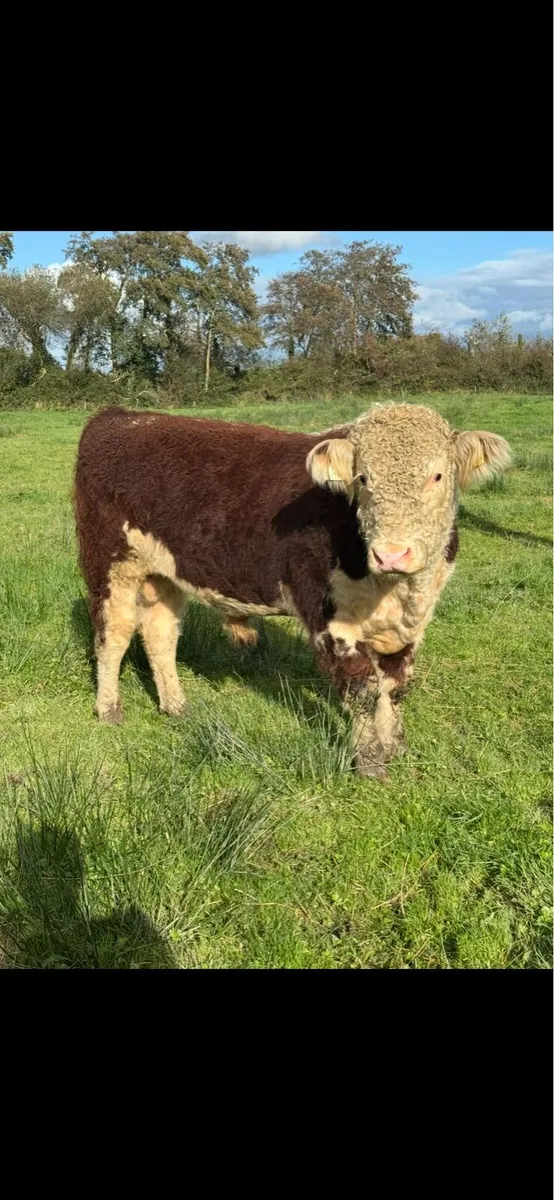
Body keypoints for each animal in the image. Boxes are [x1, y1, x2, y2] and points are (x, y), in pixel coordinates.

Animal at [74, 404, 511, 779]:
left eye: (436, 476)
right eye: (364, 479)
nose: (391, 554)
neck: (398, 591)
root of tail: (122, 416)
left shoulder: (411, 624)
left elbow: (395, 685)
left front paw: (395, 746)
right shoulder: (330, 618)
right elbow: (363, 690)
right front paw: (371, 763)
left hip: (164, 574)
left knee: (160, 634)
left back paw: (177, 707)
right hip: (111, 563)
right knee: (113, 635)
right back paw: (109, 708)